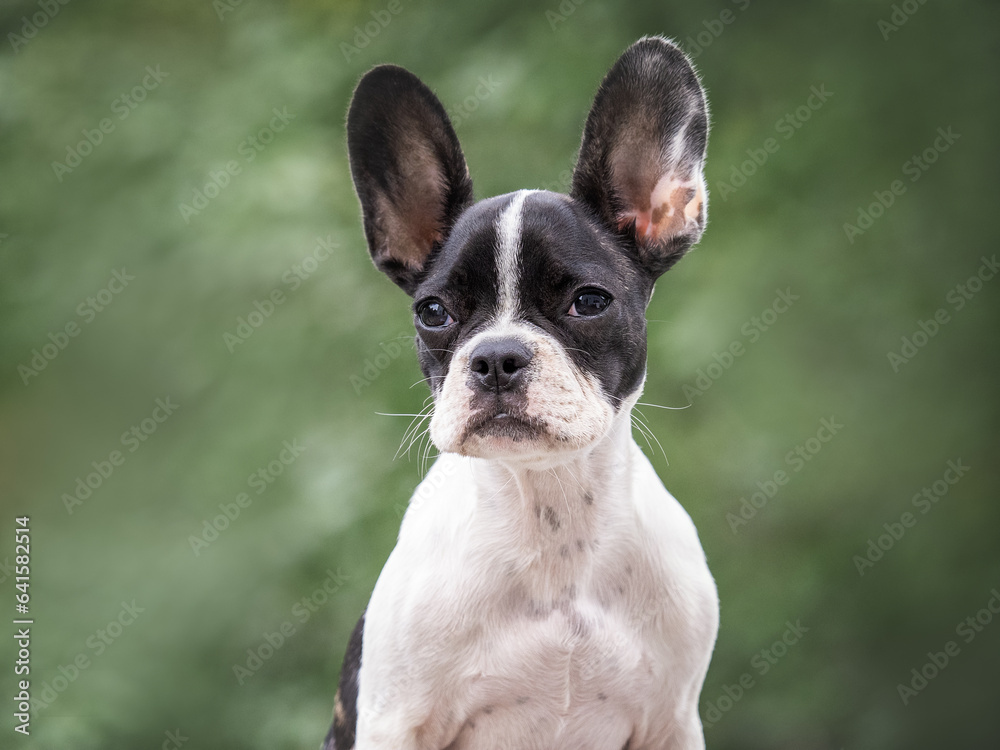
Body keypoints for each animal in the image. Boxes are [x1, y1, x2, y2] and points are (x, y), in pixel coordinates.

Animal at [328, 36, 720, 750]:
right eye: (432, 312)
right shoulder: (397, 721)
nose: (496, 358)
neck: (549, 509)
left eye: (588, 301)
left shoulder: (671, 722)